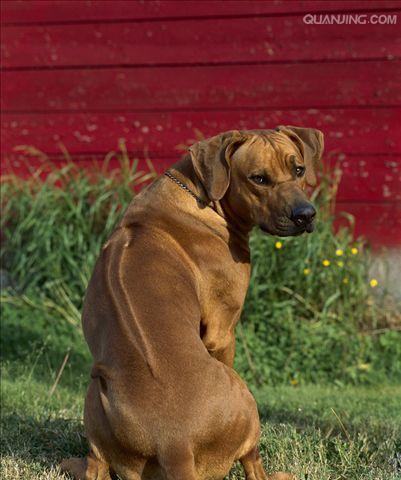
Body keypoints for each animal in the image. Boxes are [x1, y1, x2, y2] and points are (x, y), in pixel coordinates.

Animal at [61, 126, 322, 480]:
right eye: (259, 178)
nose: (305, 215)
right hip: (246, 399)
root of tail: (175, 443)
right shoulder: (222, 331)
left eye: (298, 169)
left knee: (96, 465)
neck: (198, 193)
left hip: (94, 392)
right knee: (252, 462)